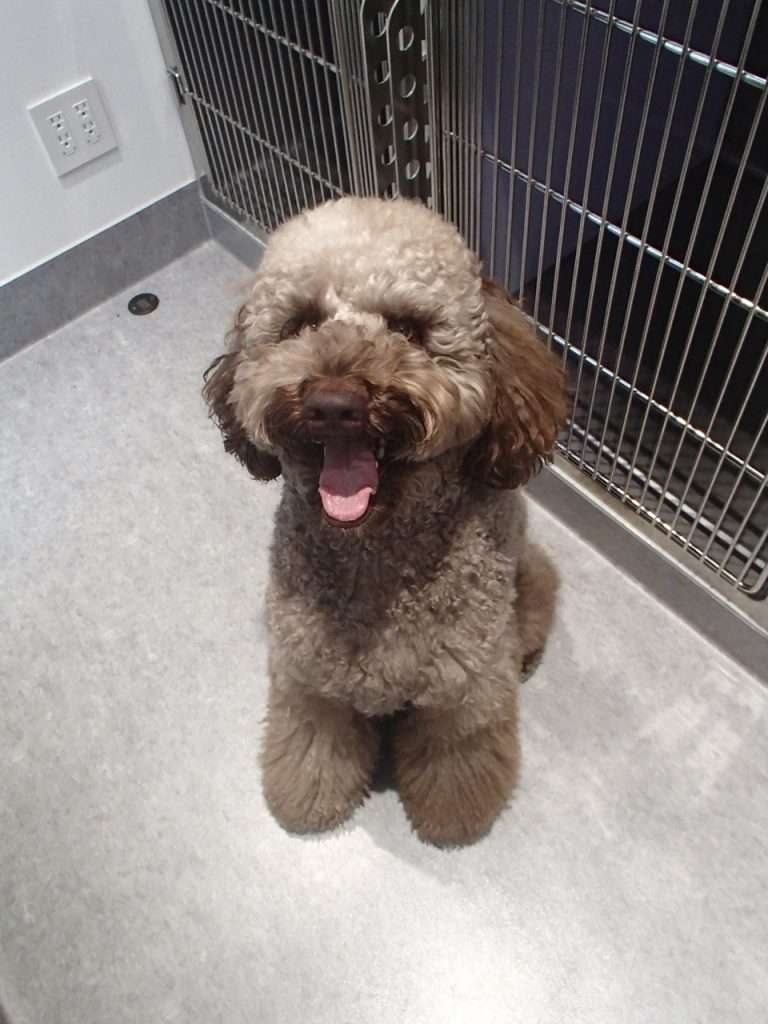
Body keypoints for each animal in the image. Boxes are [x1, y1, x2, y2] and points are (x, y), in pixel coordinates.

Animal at [204, 197, 567, 846]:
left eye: (407, 327)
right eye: (301, 322)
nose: (333, 403)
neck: (373, 558)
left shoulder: (463, 694)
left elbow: (457, 763)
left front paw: (453, 818)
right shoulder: (307, 681)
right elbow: (312, 750)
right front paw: (308, 802)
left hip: (521, 579)